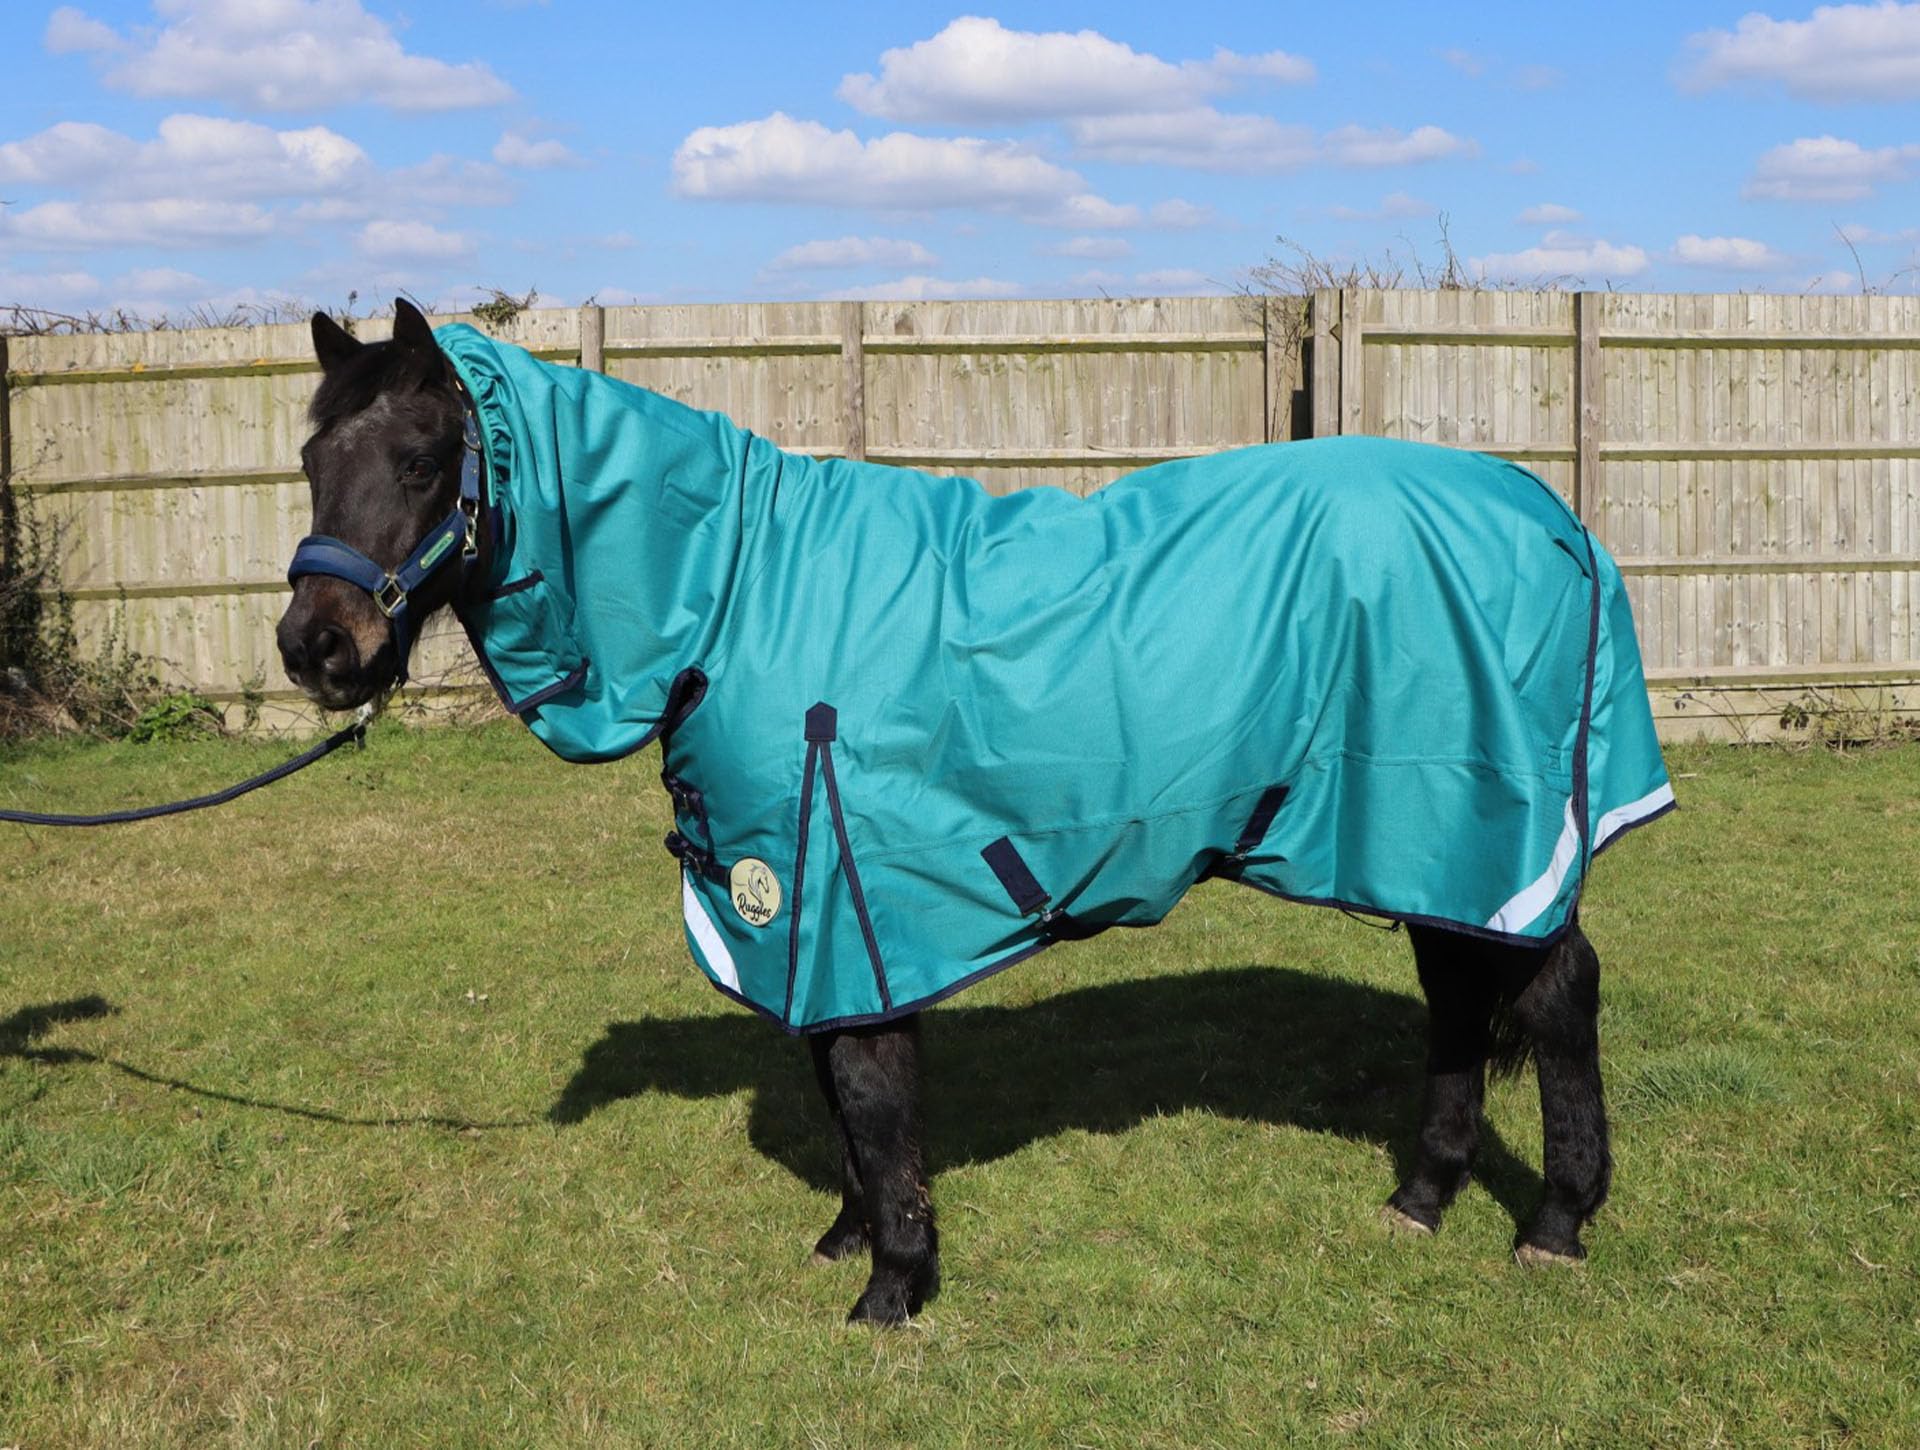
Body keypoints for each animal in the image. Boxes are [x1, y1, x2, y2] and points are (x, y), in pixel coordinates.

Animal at [277, 298, 1673, 1325]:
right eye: (307, 459)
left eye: (420, 458)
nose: (316, 648)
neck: (736, 594)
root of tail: (1551, 521)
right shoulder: (803, 913)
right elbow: (838, 1093)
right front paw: (849, 1238)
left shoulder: (845, 900)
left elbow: (872, 1093)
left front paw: (895, 1286)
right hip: (1426, 841)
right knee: (1460, 998)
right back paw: (1421, 1198)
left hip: (1495, 824)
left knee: (1554, 1000)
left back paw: (1556, 1219)